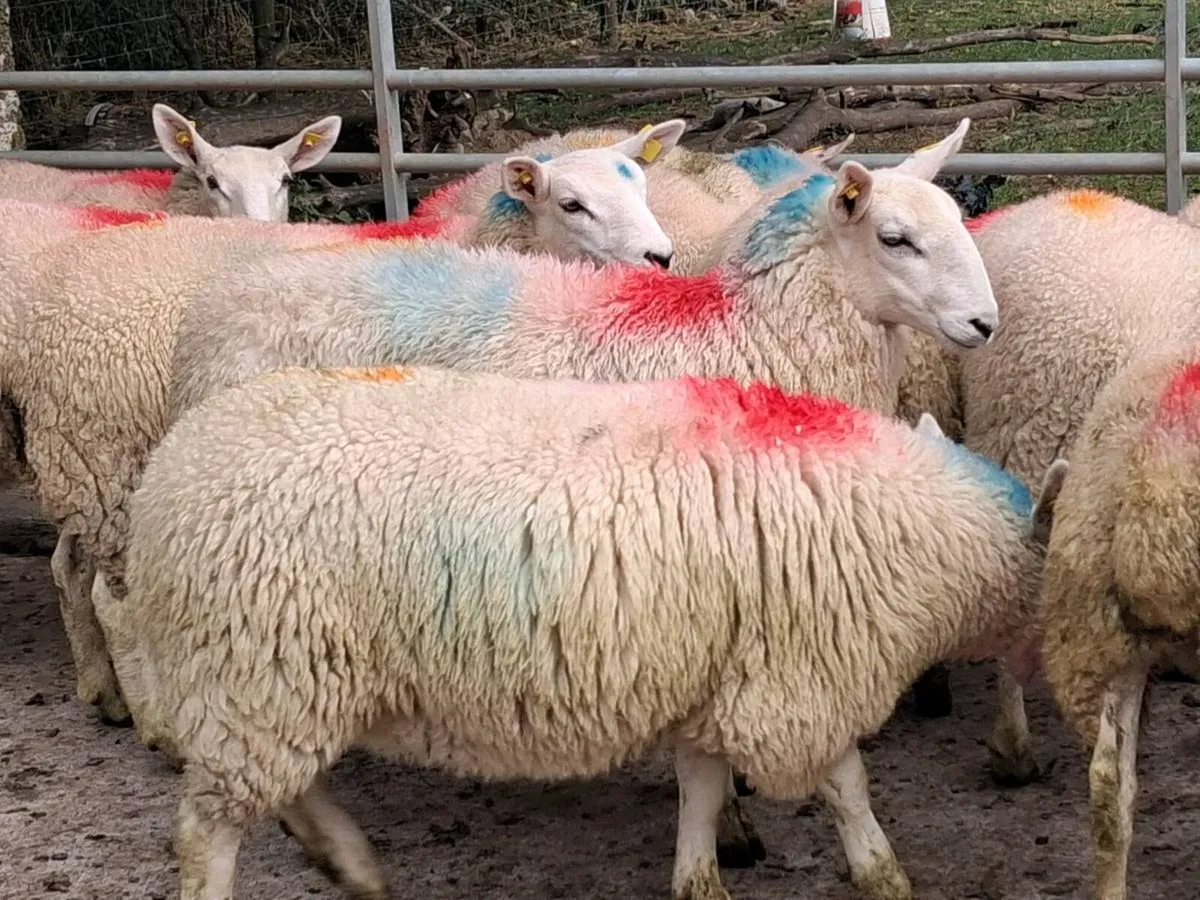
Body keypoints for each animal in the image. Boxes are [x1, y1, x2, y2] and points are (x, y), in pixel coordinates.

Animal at [116, 363, 1064, 900]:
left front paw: (698, 881)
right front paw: (884, 873)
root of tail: (166, 473)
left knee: (283, 791)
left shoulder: (713, 675)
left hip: (276, 683)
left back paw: (350, 864)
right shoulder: (794, 683)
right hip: (257, 668)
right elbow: (848, 786)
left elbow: (700, 790)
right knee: (206, 834)